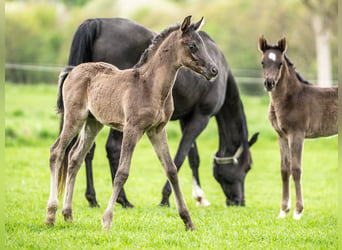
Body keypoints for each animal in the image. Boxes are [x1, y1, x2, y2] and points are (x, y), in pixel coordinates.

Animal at [66, 17, 260, 208]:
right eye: (248, 167)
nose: (239, 201)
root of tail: (95, 22)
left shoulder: (186, 118)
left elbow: (193, 157)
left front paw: (200, 197)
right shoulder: (201, 118)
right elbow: (180, 156)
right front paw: (166, 198)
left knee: (86, 150)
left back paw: (93, 198)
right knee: (111, 148)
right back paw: (123, 199)